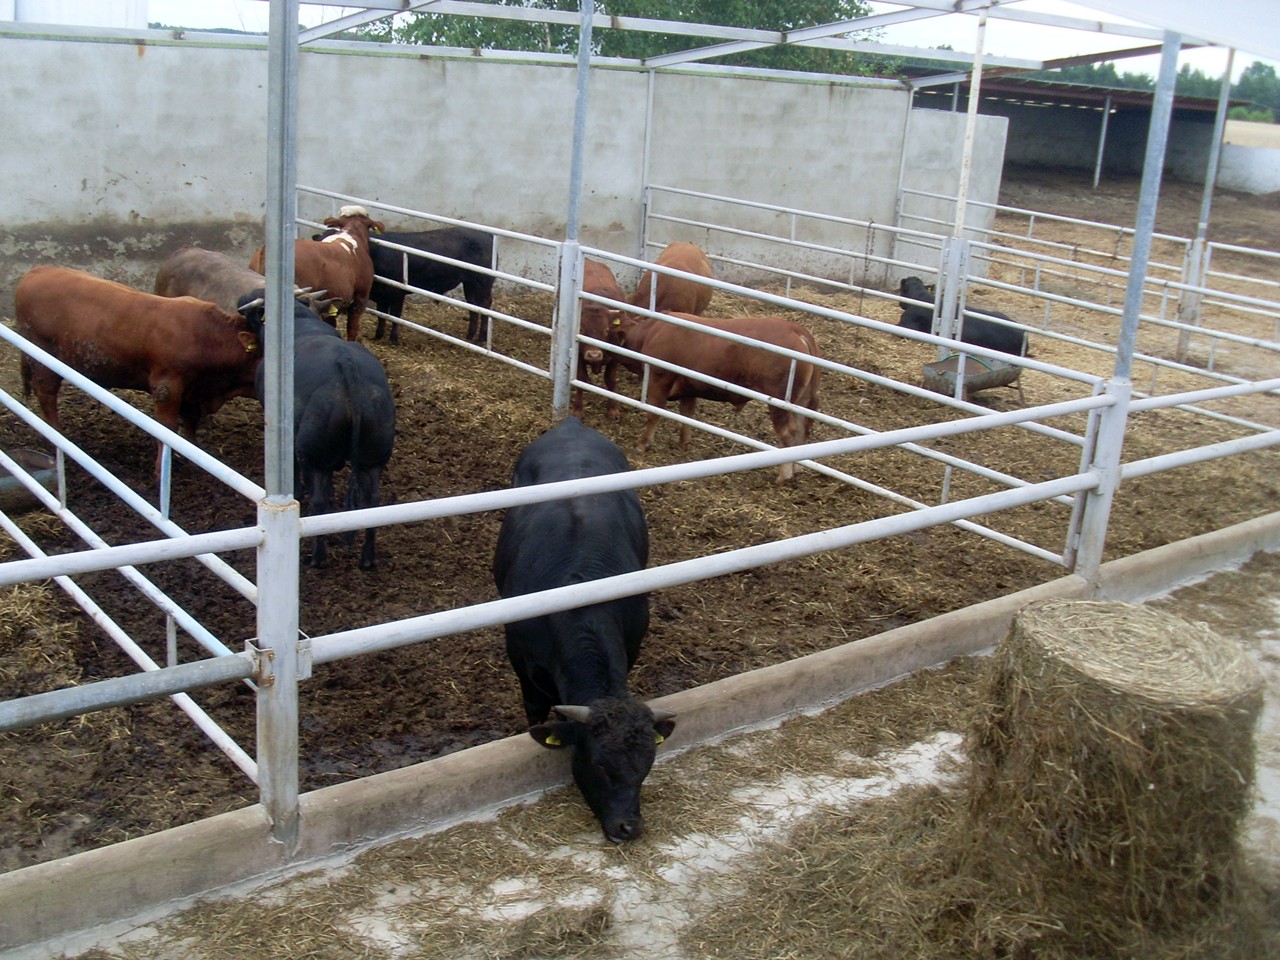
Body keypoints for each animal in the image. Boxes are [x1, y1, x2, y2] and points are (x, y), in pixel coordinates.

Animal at [14, 265, 262, 481]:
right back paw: (57, 435)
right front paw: (161, 470)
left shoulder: (193, 392)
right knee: (46, 394)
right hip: (43, 360)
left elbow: (190, 423)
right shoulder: (167, 387)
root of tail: (37, 270)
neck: (208, 337)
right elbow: (166, 429)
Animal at [237, 292, 394, 570]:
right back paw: (367, 557)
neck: (302, 322)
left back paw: (318, 556)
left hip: (316, 458)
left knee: (319, 499)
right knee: (372, 501)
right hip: (374, 458)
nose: (240, 302)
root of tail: (346, 366)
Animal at [366, 227, 495, 345]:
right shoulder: (381, 295)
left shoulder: (397, 292)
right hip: (469, 283)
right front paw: (377, 336)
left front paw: (393, 340)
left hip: (483, 282)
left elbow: (395, 316)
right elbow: (381, 316)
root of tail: (486, 235)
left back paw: (481, 338)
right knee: (473, 306)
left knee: (485, 305)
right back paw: (469, 337)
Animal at [609, 311, 821, 484]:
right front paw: (683, 443)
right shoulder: (688, 388)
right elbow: (687, 415)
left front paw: (642, 445)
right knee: (803, 430)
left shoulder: (659, 379)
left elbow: (654, 413)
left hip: (779, 404)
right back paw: (797, 468)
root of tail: (795, 329)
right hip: (803, 401)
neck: (651, 333)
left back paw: (784, 476)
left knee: (788, 433)